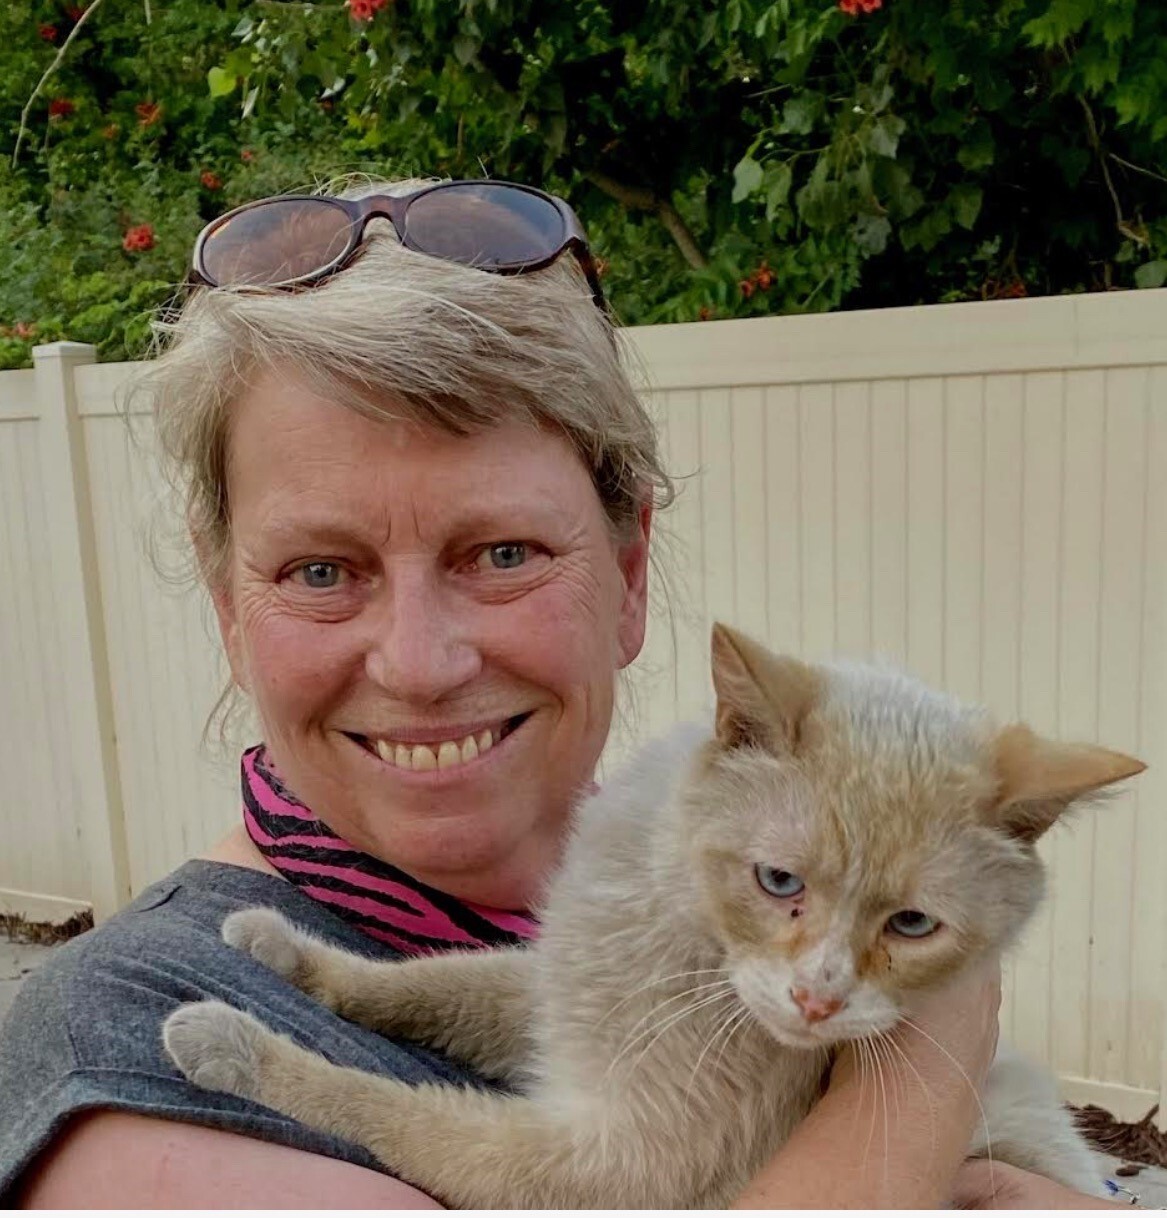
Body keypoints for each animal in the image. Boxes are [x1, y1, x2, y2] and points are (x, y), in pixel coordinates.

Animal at [162, 628, 1140, 1208]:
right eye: (777, 880)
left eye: (910, 927)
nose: (817, 1000)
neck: (684, 937)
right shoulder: (550, 995)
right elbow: (432, 984)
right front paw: (285, 950)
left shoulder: (616, 1166)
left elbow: (392, 1110)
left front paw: (240, 1050)